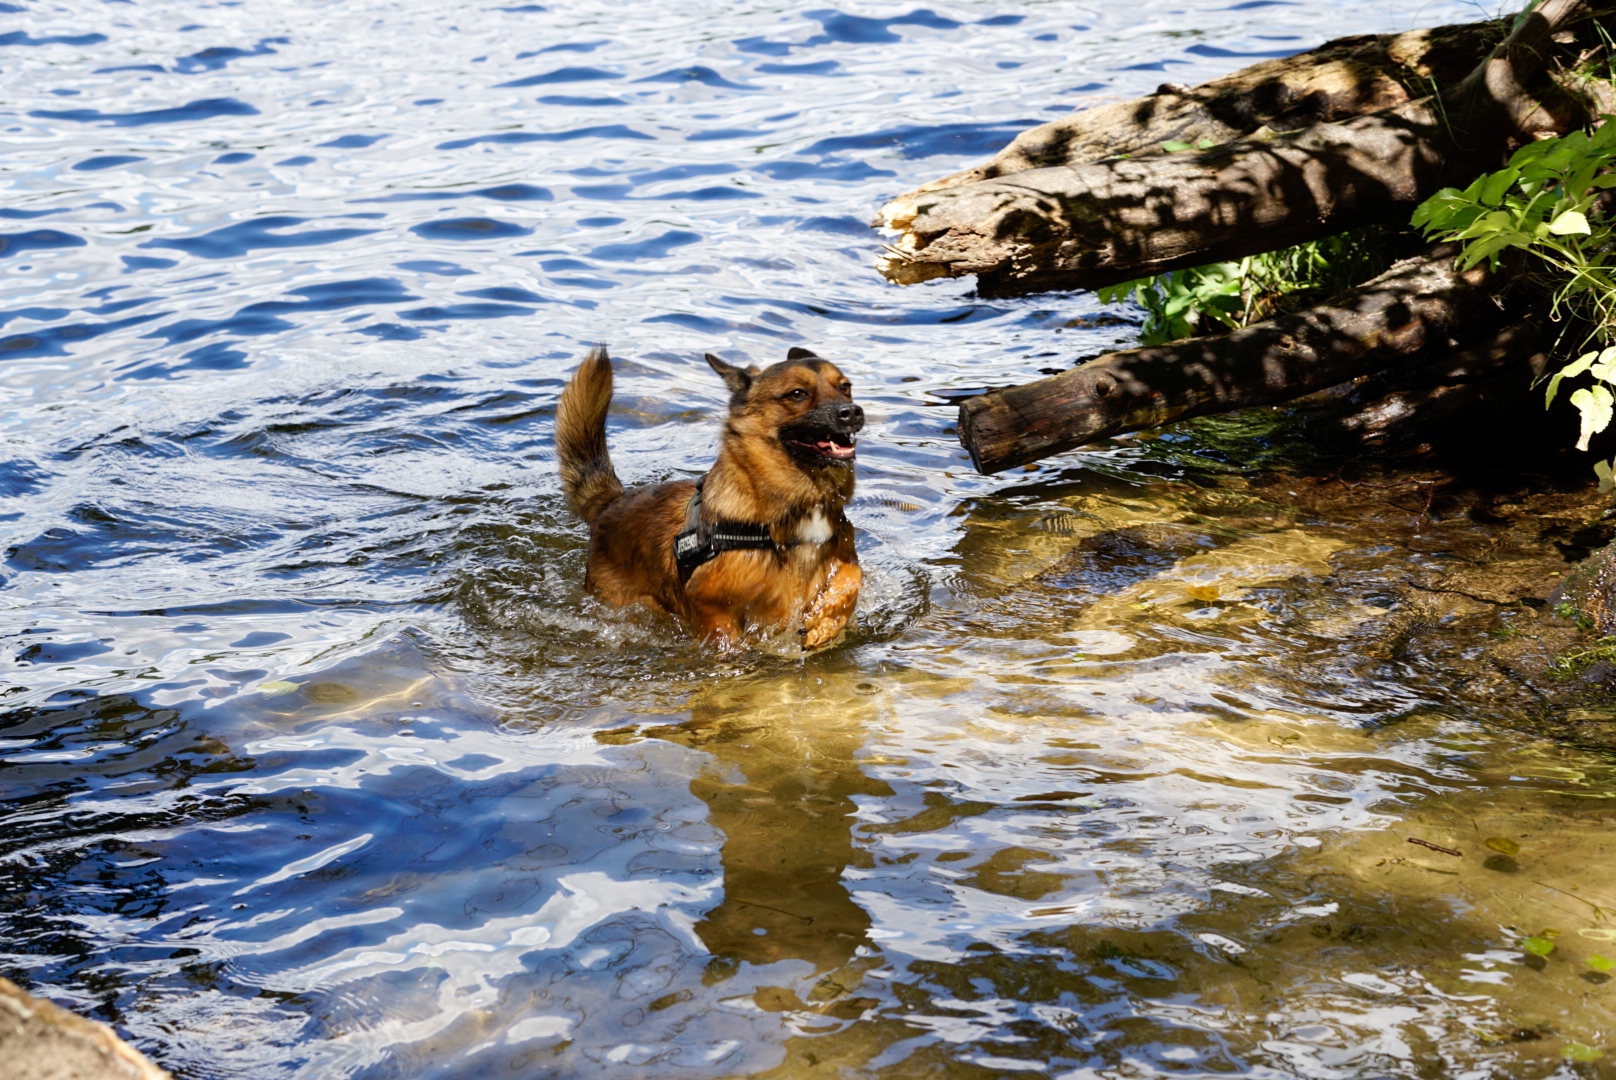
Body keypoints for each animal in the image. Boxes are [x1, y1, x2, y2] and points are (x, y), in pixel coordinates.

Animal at [555, 345, 866, 649]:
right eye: (797, 393)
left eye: (846, 387)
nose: (853, 412)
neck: (802, 505)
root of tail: (611, 502)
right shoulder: (709, 602)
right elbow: (725, 637)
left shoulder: (844, 556)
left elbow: (853, 577)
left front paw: (825, 621)